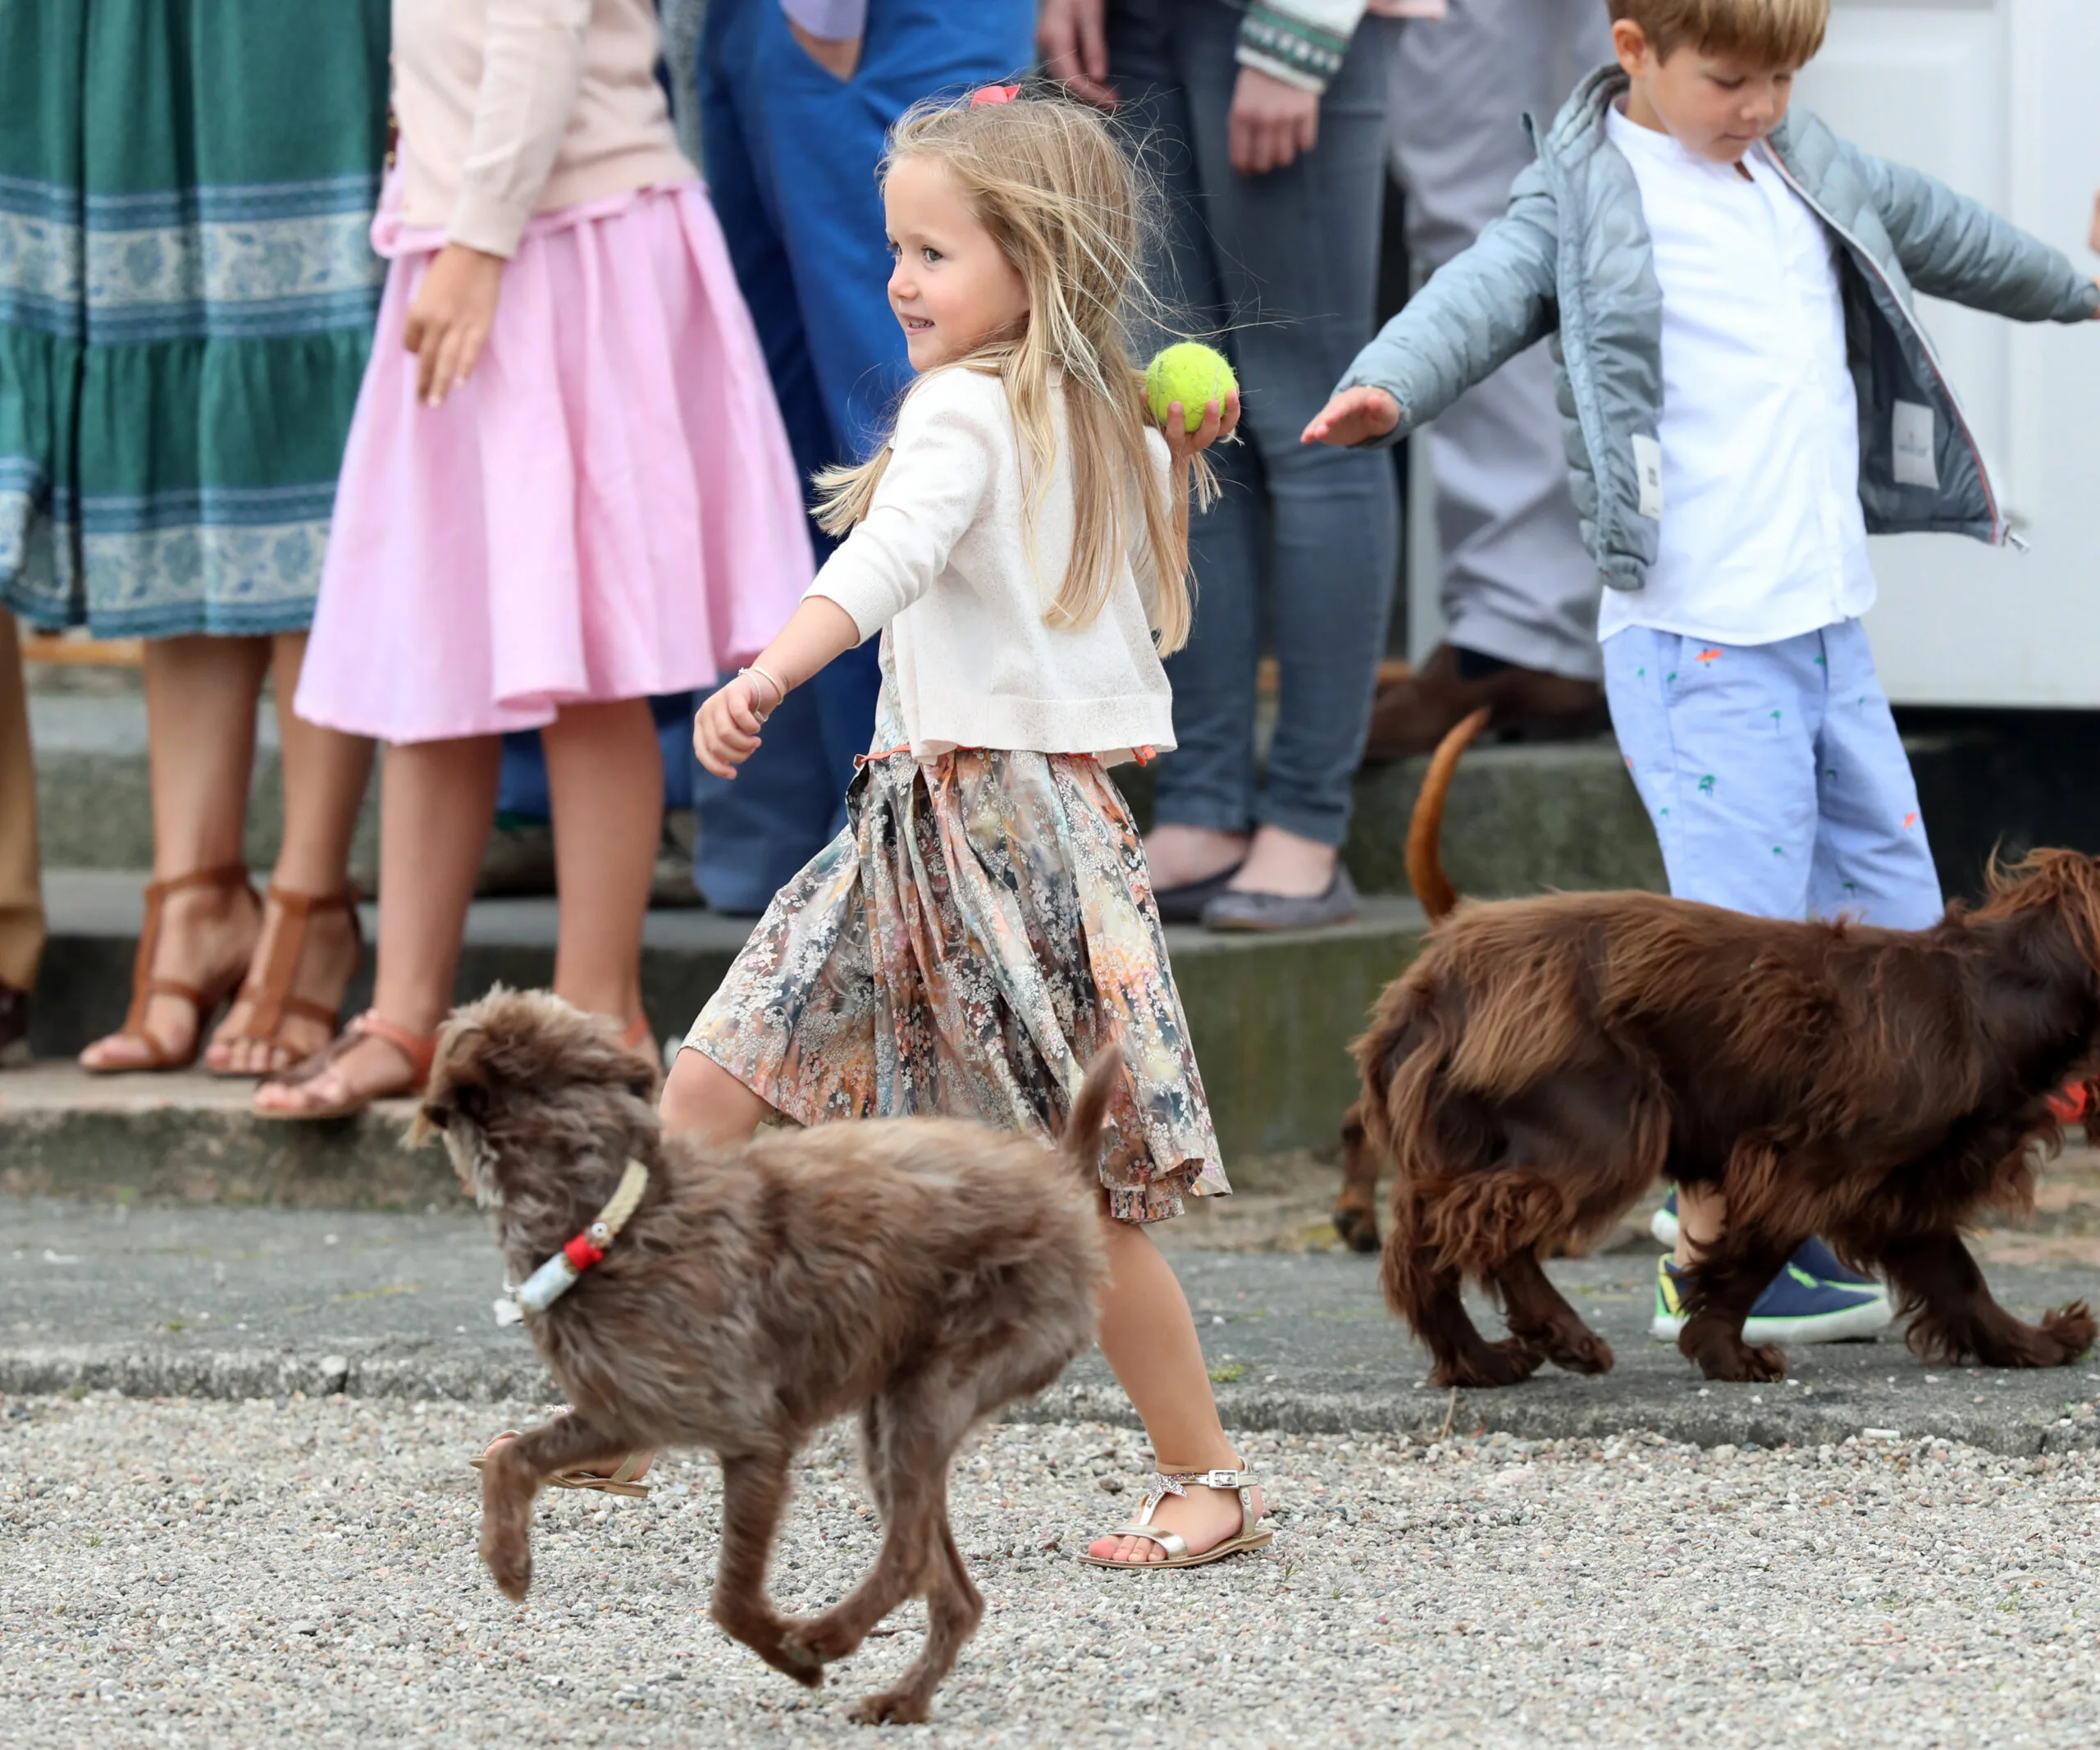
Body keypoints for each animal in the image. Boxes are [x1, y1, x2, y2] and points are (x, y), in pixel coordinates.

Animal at [415, 991, 1125, 1730]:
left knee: (907, 1556)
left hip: (926, 1399)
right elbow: (510, 1456)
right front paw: (508, 1561)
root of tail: (1062, 1183)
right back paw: (901, 1698)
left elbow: (730, 1599)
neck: (613, 1215)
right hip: (894, 1416)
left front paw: (793, 1659)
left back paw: (827, 1635)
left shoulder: (754, 1440)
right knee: (955, 1592)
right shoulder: (623, 1411)